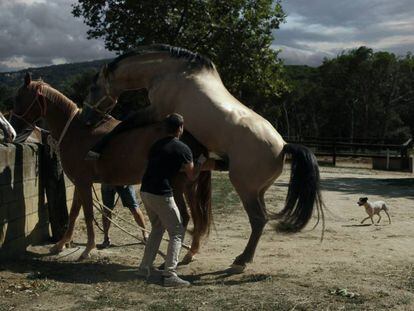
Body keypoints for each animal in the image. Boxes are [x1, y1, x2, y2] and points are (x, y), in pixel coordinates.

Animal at [11, 74, 215, 262]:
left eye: (19, 98)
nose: (13, 128)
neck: (75, 131)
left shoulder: (83, 183)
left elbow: (87, 214)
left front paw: (88, 248)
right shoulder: (79, 182)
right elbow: (74, 213)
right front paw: (61, 245)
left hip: (178, 186)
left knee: (185, 217)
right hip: (189, 187)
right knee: (197, 218)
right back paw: (190, 252)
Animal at [81, 45, 326, 274]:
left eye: (93, 88)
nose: (86, 118)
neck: (169, 70)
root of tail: (283, 146)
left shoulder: (156, 110)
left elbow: (123, 124)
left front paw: (95, 149)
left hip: (244, 188)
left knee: (258, 220)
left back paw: (240, 261)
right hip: (258, 191)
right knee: (261, 217)